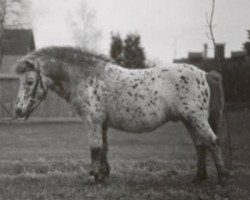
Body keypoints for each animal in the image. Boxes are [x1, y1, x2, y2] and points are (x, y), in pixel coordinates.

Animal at [13, 46, 229, 184]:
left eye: (30, 81)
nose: (18, 110)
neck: (88, 78)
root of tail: (205, 74)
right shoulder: (102, 124)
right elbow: (104, 149)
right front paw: (103, 176)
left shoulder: (92, 122)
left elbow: (95, 149)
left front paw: (93, 177)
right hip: (189, 120)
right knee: (200, 145)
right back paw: (198, 178)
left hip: (196, 119)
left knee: (213, 142)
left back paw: (221, 179)